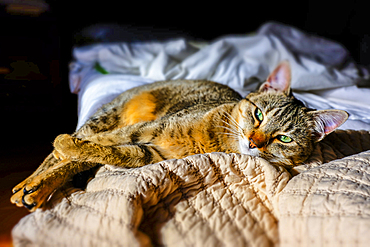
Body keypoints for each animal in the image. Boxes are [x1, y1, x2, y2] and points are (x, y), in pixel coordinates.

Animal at [10, 61, 348, 210]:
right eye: (259, 115)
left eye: (284, 139)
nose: (254, 142)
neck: (218, 140)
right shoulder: (145, 131)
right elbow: (85, 149)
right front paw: (60, 147)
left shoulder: (147, 153)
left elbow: (99, 151)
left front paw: (64, 150)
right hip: (109, 116)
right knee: (63, 151)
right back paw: (30, 184)